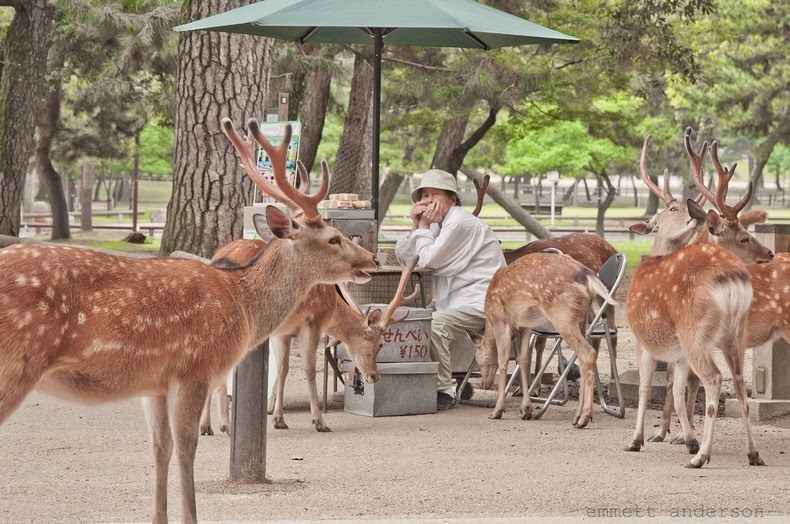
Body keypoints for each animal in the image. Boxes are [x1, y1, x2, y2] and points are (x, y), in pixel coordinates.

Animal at [0, 118, 380, 524]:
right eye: (334, 238)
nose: (372, 259)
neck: (242, 304)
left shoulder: (154, 384)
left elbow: (160, 448)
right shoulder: (195, 367)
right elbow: (186, 446)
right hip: (15, 364)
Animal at [470, 252, 620, 428]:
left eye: (478, 359)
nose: (484, 385)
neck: (489, 321)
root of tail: (587, 278)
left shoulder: (501, 320)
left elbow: (503, 361)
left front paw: (497, 411)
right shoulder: (526, 326)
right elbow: (523, 360)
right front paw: (526, 409)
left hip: (563, 316)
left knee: (588, 353)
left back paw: (584, 418)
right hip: (581, 319)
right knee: (583, 357)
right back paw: (577, 416)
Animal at [624, 130, 772, 466]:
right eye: (744, 237)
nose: (770, 253)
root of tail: (731, 281)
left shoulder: (643, 340)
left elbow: (644, 388)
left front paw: (638, 440)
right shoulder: (677, 353)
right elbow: (677, 390)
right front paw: (681, 437)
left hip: (696, 333)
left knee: (714, 379)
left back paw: (702, 456)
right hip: (735, 335)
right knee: (739, 384)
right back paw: (753, 453)